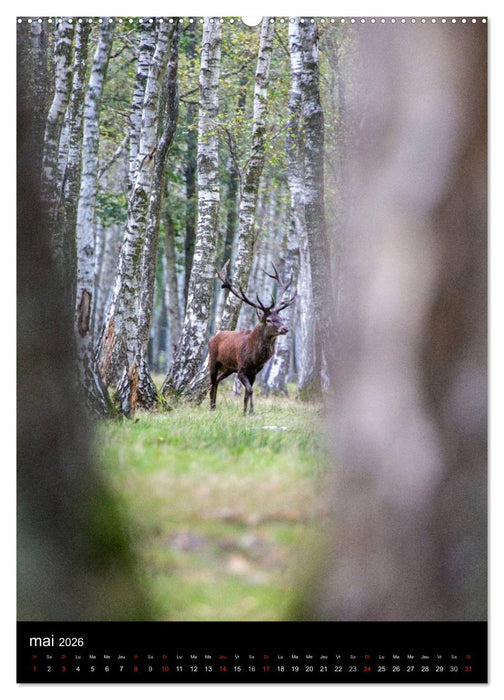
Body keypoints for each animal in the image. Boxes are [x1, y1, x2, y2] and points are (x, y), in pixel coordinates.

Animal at [209, 260, 297, 415]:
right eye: (269, 320)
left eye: (280, 318)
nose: (285, 328)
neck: (255, 358)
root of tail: (213, 337)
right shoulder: (241, 369)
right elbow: (249, 390)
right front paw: (249, 412)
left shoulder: (254, 372)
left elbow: (248, 392)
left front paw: (247, 412)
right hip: (213, 361)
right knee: (211, 383)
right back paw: (211, 407)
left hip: (228, 368)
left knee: (218, 380)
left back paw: (214, 405)